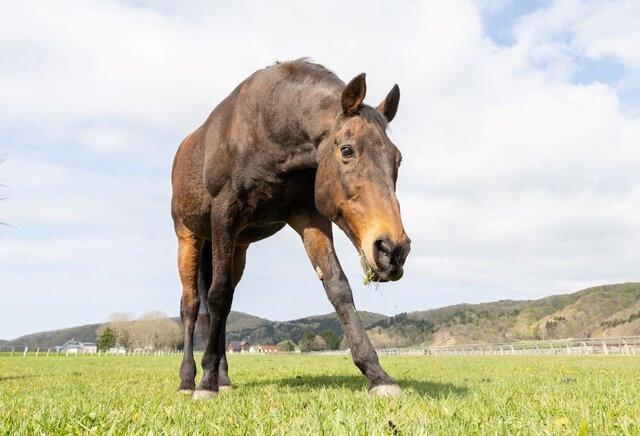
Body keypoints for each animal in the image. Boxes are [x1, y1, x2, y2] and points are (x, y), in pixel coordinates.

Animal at [171, 59, 411, 399]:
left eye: (397, 160)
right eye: (347, 150)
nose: (393, 250)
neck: (268, 126)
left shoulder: (309, 217)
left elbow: (338, 288)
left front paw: (378, 376)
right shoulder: (223, 215)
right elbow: (216, 296)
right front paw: (206, 384)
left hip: (238, 247)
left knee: (225, 305)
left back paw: (225, 379)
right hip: (189, 235)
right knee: (191, 305)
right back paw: (188, 380)